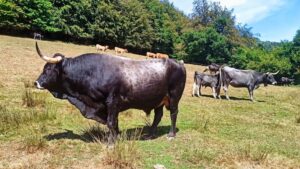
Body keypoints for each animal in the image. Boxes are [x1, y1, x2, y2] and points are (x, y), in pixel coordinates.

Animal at [34, 42, 185, 144]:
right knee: (158, 116)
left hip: (174, 97)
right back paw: (150, 134)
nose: (36, 82)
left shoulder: (112, 101)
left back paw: (171, 134)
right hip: (158, 100)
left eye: (48, 69)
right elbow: (113, 123)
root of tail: (178, 62)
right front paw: (115, 136)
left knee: (173, 113)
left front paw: (111, 143)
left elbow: (111, 122)